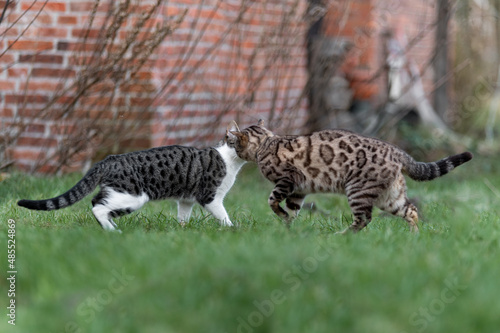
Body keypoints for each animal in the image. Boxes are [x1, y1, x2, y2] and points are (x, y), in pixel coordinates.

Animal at [19, 120, 246, 230]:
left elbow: (183, 216)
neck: (230, 160)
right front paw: (231, 228)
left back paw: (111, 227)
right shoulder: (209, 196)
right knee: (97, 206)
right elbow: (223, 215)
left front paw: (182, 229)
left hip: (119, 192)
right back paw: (112, 230)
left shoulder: (186, 199)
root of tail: (108, 159)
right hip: (132, 196)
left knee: (97, 202)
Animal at [228, 120, 472, 232]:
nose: (230, 145)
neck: (265, 143)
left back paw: (341, 235)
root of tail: (397, 151)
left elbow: (272, 201)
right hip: (390, 196)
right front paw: (290, 226)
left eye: (233, 143)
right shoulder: (299, 190)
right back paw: (414, 236)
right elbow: (293, 210)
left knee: (364, 219)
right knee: (410, 210)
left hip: (357, 190)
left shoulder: (287, 180)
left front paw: (283, 217)